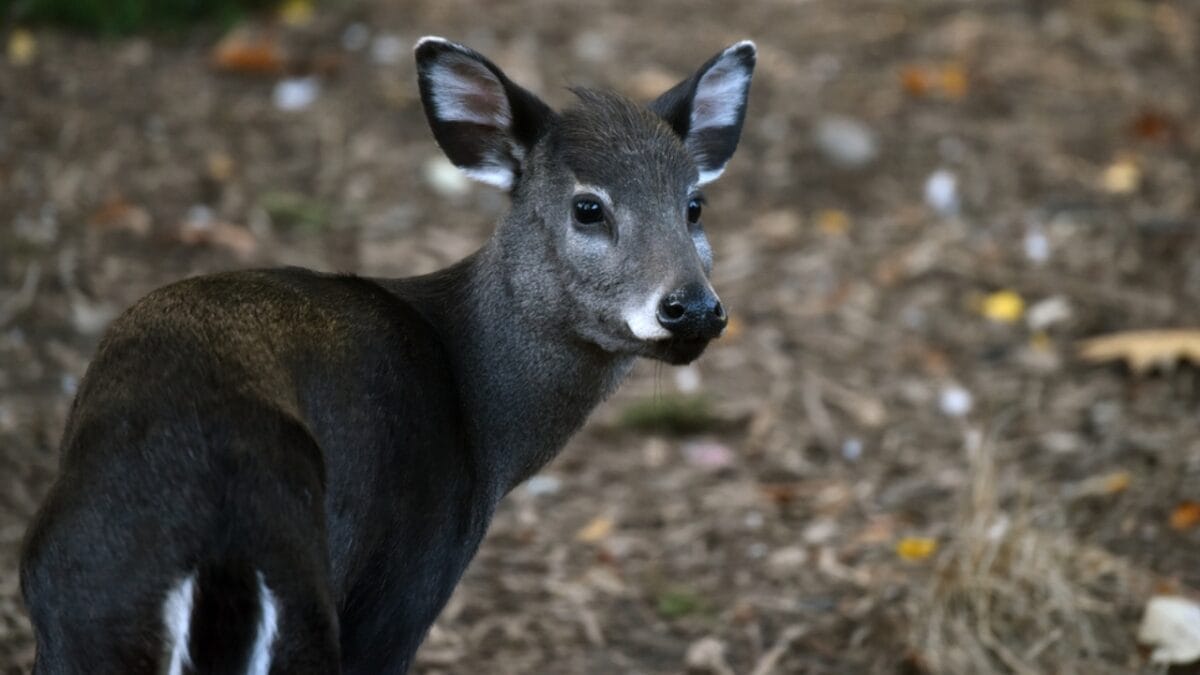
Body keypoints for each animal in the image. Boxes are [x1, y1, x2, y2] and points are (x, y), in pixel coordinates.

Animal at [19, 36, 756, 674]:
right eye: (588, 207)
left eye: (695, 204)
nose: (693, 307)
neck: (480, 423)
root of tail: (219, 555)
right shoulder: (405, 587)